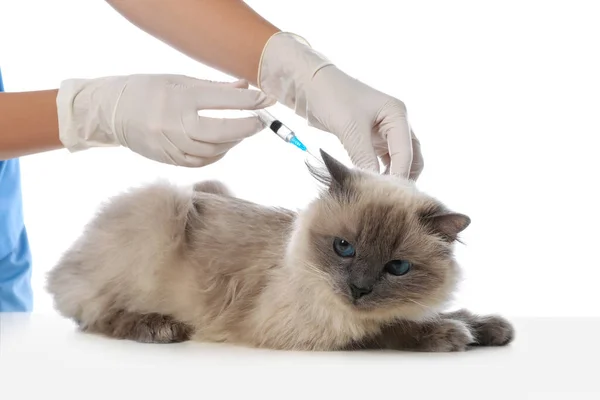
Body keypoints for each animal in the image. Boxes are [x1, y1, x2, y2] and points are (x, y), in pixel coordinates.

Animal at [48, 149, 516, 350]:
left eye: (397, 267)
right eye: (344, 248)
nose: (359, 290)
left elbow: (433, 313)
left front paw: (488, 328)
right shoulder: (302, 328)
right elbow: (384, 330)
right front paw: (453, 336)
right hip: (163, 206)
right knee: (94, 316)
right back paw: (159, 328)